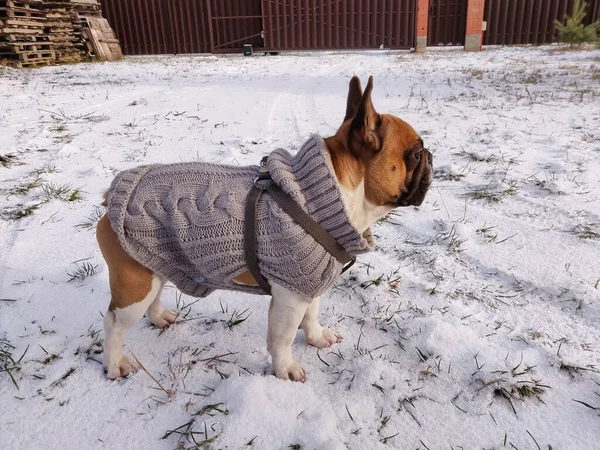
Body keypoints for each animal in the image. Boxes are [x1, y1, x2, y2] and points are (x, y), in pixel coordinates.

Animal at [95, 75, 432, 382]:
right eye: (415, 154)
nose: (430, 157)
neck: (329, 194)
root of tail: (113, 194)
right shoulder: (289, 296)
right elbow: (282, 338)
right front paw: (285, 370)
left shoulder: (308, 283)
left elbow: (312, 314)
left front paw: (317, 338)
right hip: (134, 284)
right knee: (114, 324)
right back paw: (114, 364)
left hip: (156, 262)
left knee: (153, 296)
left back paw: (159, 318)